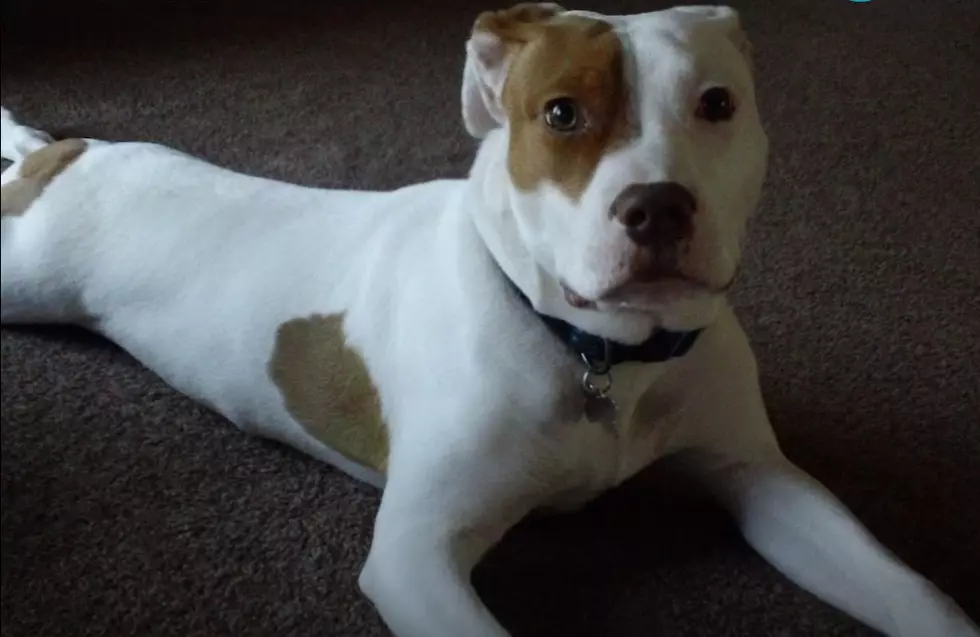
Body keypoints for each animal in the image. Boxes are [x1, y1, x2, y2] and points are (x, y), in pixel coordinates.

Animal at [1, 4, 980, 636]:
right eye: (560, 113)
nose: (659, 207)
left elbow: (912, 593)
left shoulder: (765, 481)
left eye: (717, 104)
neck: (604, 356)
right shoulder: (418, 554)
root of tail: (66, 154)